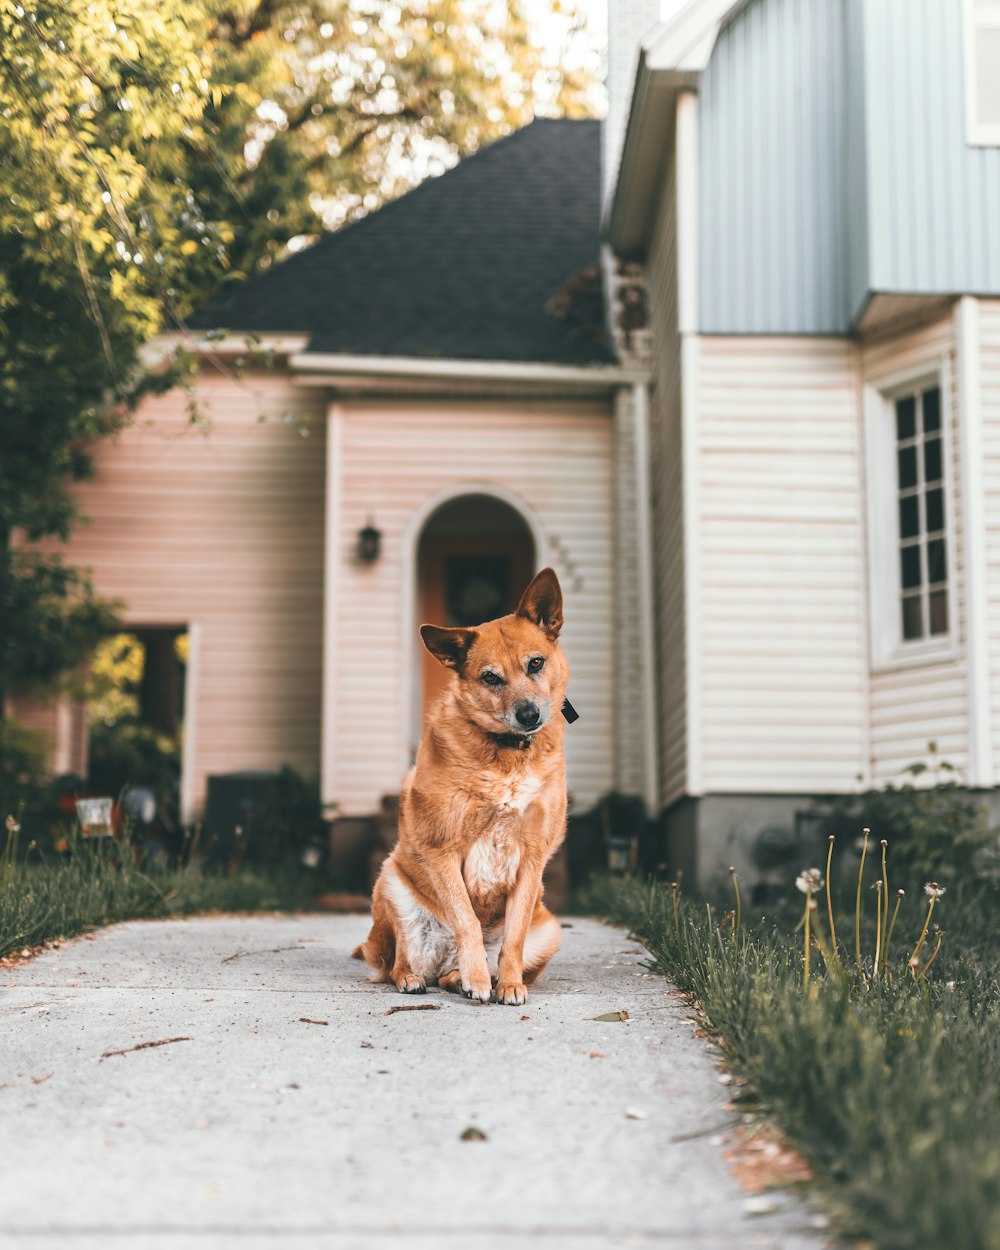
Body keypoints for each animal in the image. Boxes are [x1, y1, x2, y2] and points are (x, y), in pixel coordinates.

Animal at [352, 567, 570, 1005]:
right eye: (490, 677)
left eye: (536, 663)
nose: (529, 715)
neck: (507, 753)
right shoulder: (441, 849)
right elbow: (466, 919)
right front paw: (478, 979)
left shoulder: (532, 857)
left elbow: (514, 936)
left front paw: (509, 984)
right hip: (390, 885)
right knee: (398, 963)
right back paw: (421, 978)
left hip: (550, 929)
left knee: (462, 966)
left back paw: (465, 977)